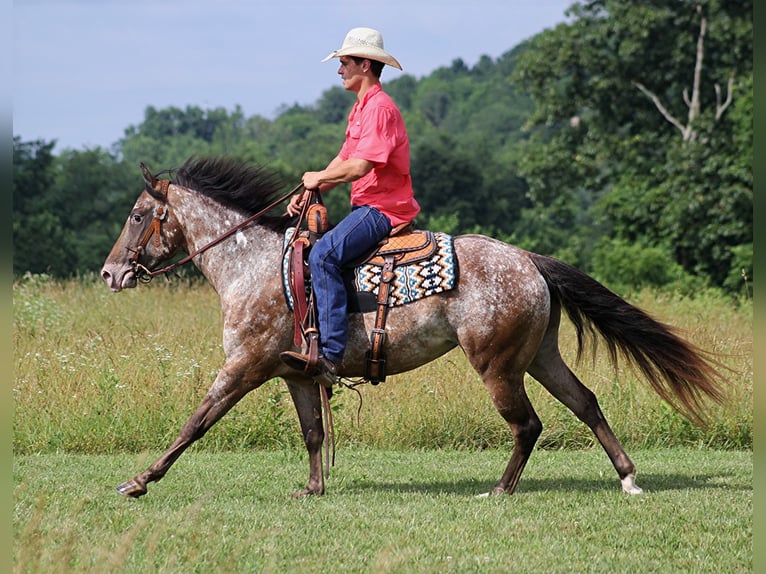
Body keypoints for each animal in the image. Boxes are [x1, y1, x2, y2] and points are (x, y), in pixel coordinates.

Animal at [100, 156, 728, 500]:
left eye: (136, 215)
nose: (109, 273)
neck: (251, 266)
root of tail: (528, 260)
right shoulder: (295, 375)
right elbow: (313, 434)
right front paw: (313, 487)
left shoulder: (244, 366)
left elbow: (196, 422)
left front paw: (138, 481)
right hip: (539, 357)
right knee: (587, 402)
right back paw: (628, 478)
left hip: (497, 365)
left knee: (528, 425)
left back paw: (500, 489)